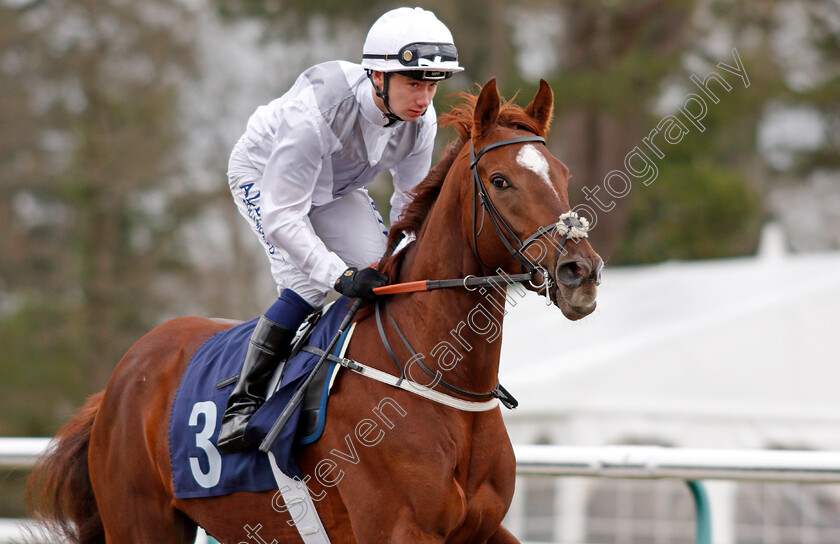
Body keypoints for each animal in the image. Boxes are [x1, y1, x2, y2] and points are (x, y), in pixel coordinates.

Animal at [27, 79, 604, 544]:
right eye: (502, 180)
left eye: (562, 173)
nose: (581, 271)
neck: (436, 379)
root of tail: (121, 377)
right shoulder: (398, 530)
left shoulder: (483, 529)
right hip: (141, 522)